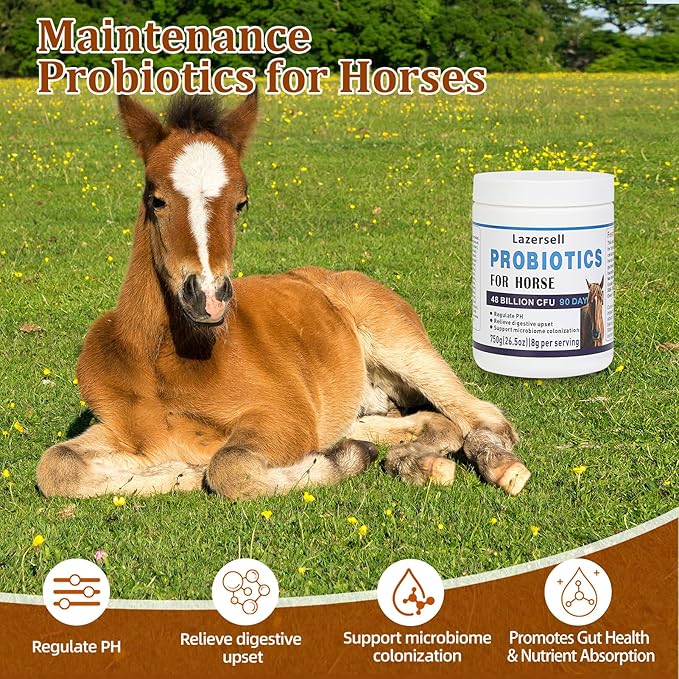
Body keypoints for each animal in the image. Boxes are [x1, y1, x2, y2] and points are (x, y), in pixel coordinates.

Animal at [36, 94, 531, 500]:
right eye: (155, 199)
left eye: (241, 203)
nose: (208, 298)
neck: (160, 361)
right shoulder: (123, 429)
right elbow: (55, 466)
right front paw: (177, 473)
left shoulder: (285, 418)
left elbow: (228, 467)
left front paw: (337, 461)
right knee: (429, 421)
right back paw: (413, 462)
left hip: (403, 345)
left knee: (480, 417)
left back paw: (497, 468)